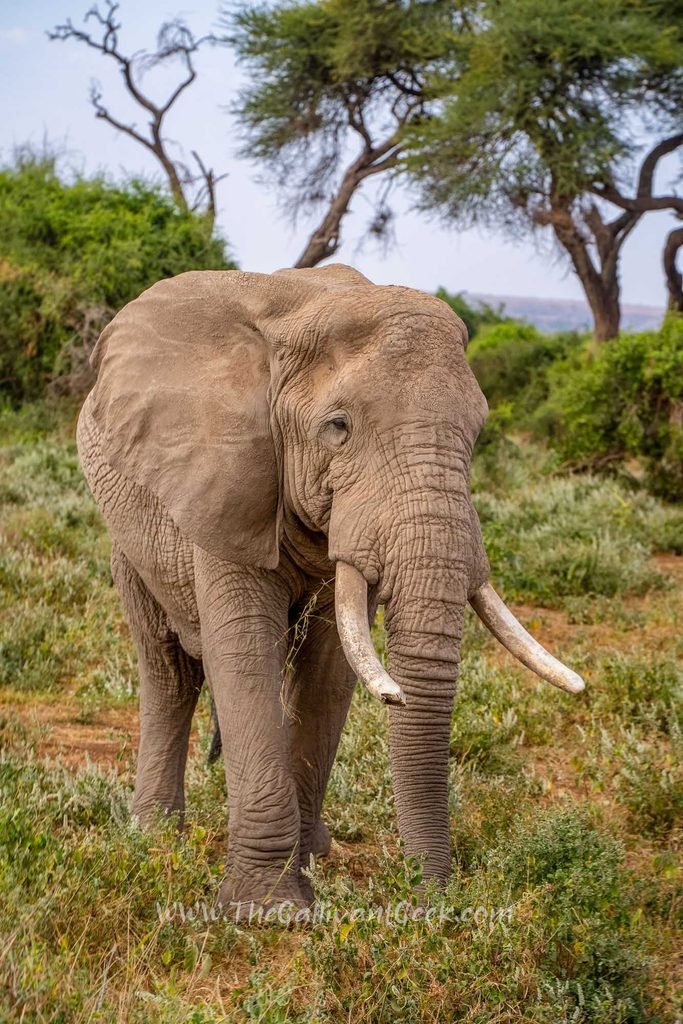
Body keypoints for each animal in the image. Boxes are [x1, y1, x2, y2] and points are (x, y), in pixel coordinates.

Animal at [77, 264, 584, 917]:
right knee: (169, 670)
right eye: (338, 428)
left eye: (478, 431)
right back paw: (156, 836)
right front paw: (269, 911)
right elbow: (244, 653)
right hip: (128, 530)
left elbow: (330, 664)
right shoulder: (226, 481)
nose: (431, 901)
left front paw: (304, 869)